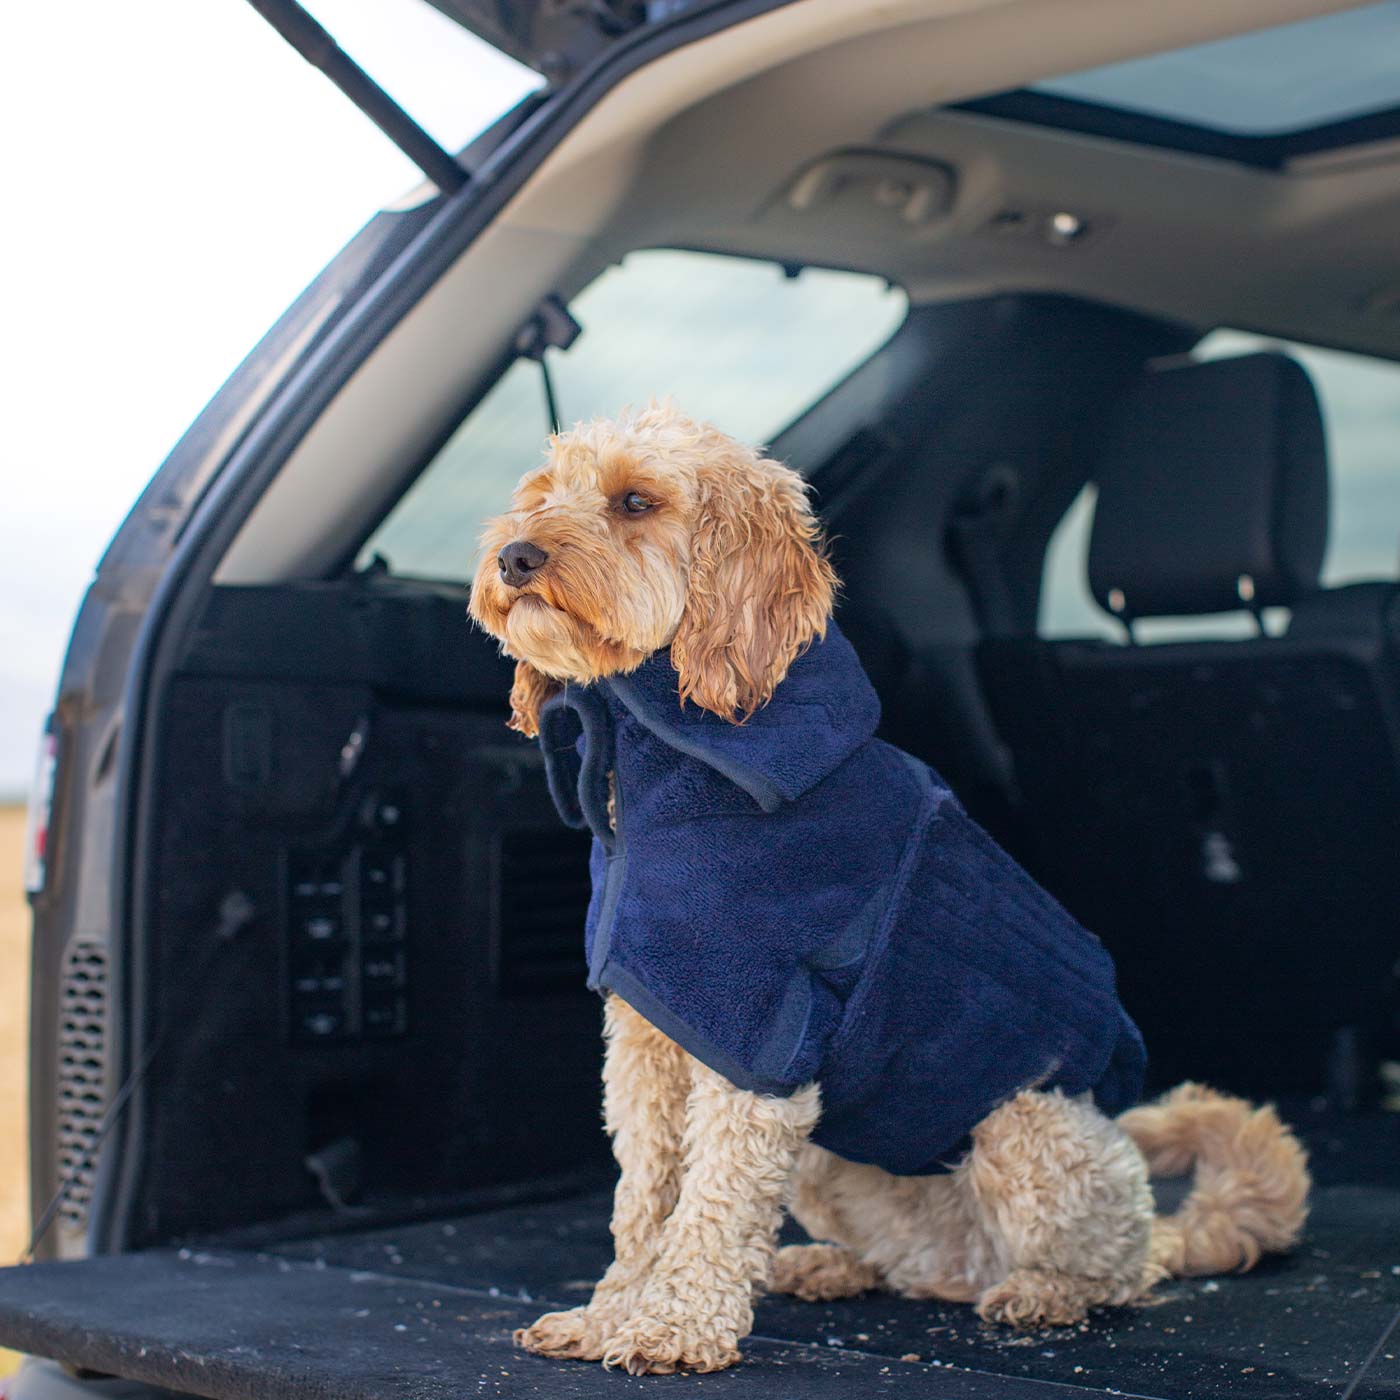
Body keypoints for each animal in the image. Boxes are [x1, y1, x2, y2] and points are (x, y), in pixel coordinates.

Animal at [470, 406, 1310, 1377]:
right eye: (542, 493)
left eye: (636, 501)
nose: (514, 556)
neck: (665, 764)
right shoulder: (647, 1045)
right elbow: (643, 1199)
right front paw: (608, 1316)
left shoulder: (761, 1038)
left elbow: (712, 1201)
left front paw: (674, 1327)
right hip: (833, 1163)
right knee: (914, 1270)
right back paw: (830, 1267)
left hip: (1029, 1128)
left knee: (1120, 1271)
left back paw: (1047, 1292)